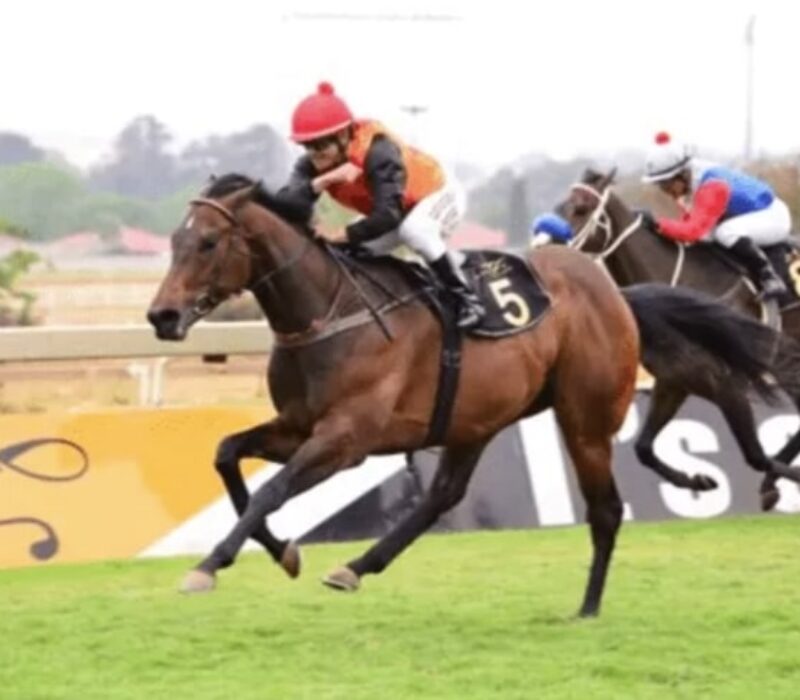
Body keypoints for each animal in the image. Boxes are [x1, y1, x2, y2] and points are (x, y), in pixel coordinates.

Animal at [555, 168, 800, 510]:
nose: (544, 243)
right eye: (559, 206)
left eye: (580, 208)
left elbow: (755, 454)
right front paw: (698, 480)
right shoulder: (675, 381)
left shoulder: (726, 382)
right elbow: (643, 448)